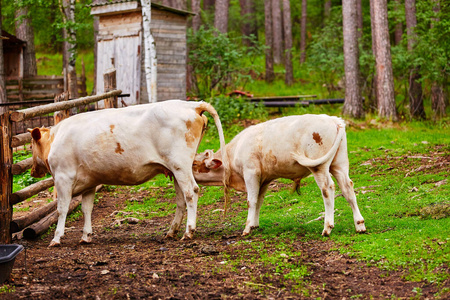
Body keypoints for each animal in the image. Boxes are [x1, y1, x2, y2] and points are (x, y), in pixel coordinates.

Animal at [28, 100, 227, 246]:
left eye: (31, 146)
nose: (33, 171)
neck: (56, 138)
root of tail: (192, 104)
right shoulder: (90, 181)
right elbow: (87, 208)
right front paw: (86, 236)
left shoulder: (63, 178)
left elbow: (61, 209)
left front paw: (56, 238)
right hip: (176, 169)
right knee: (181, 199)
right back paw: (171, 232)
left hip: (180, 164)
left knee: (191, 192)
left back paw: (189, 231)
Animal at [192, 113, 366, 236]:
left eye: (194, 164)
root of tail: (333, 119)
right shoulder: (264, 179)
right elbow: (259, 201)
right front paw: (254, 224)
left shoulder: (250, 173)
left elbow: (251, 201)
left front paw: (247, 228)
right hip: (339, 164)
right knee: (348, 188)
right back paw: (360, 225)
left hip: (319, 166)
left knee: (328, 189)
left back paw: (327, 227)